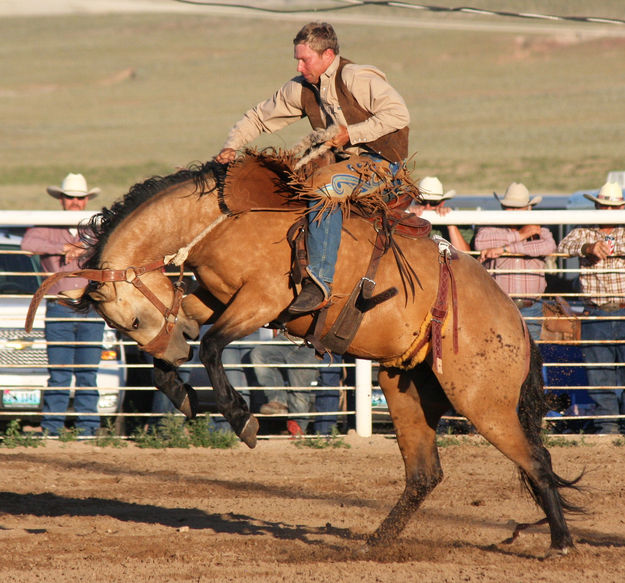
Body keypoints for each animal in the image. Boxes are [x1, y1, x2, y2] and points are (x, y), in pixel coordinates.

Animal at [25, 148, 580, 556]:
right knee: (427, 473)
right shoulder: (214, 297)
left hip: (482, 401)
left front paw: (242, 418)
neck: (224, 217)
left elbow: (212, 346)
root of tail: (515, 320)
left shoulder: (261, 299)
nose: (175, 343)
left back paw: (561, 543)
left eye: (134, 321)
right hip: (407, 388)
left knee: (535, 458)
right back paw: (374, 544)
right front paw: (182, 394)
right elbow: (185, 351)